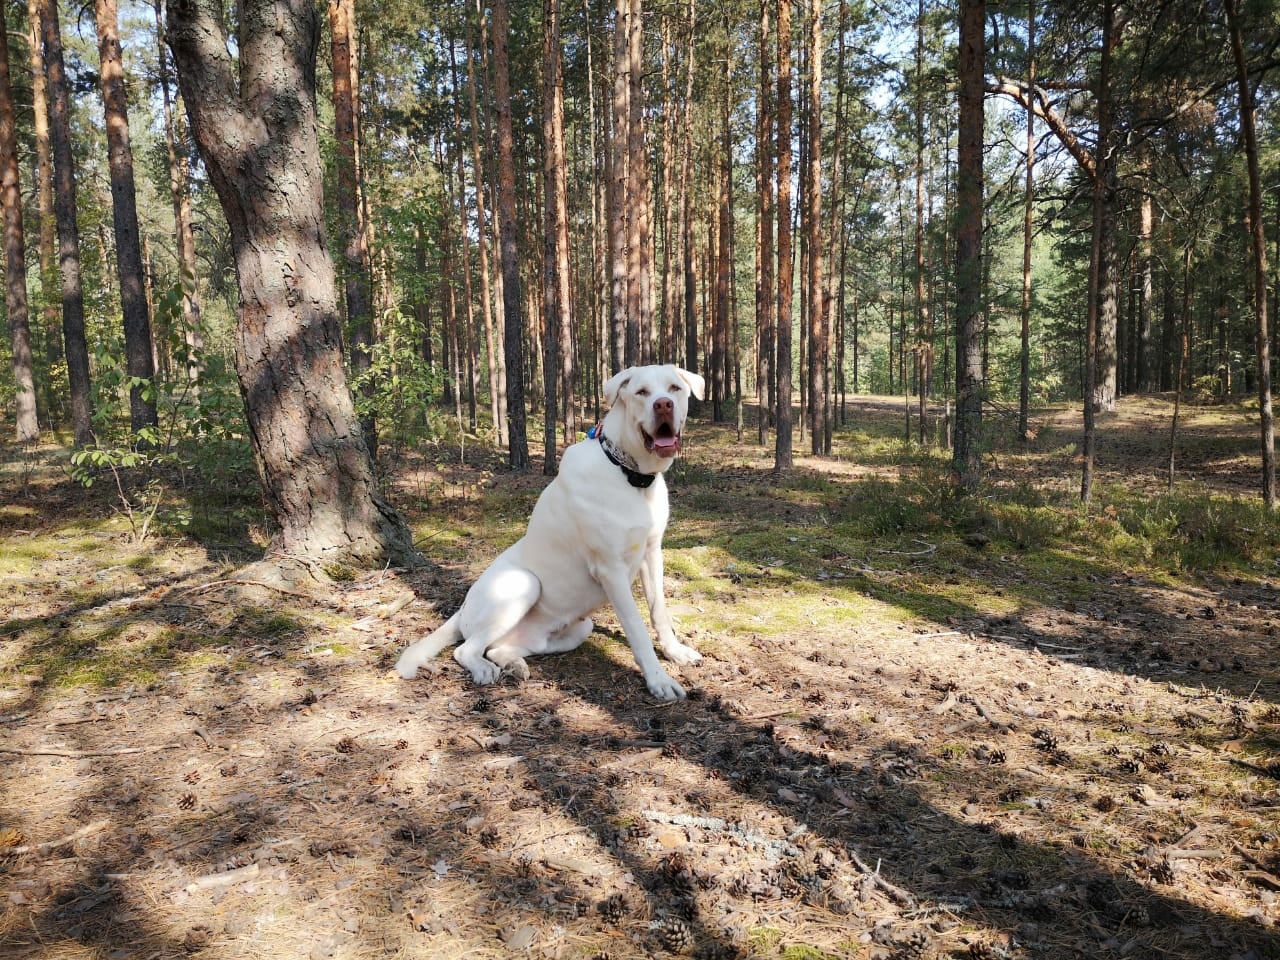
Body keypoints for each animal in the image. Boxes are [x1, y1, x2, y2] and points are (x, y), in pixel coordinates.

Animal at [394, 363, 706, 701]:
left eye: (674, 388)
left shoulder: (651, 553)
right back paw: (483, 670)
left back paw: (513, 664)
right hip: (523, 583)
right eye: (642, 393)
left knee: (496, 648)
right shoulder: (610, 570)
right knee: (465, 650)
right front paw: (658, 680)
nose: (663, 405)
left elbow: (659, 611)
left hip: (580, 627)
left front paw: (675, 651)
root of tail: (462, 608)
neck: (629, 475)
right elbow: (637, 629)